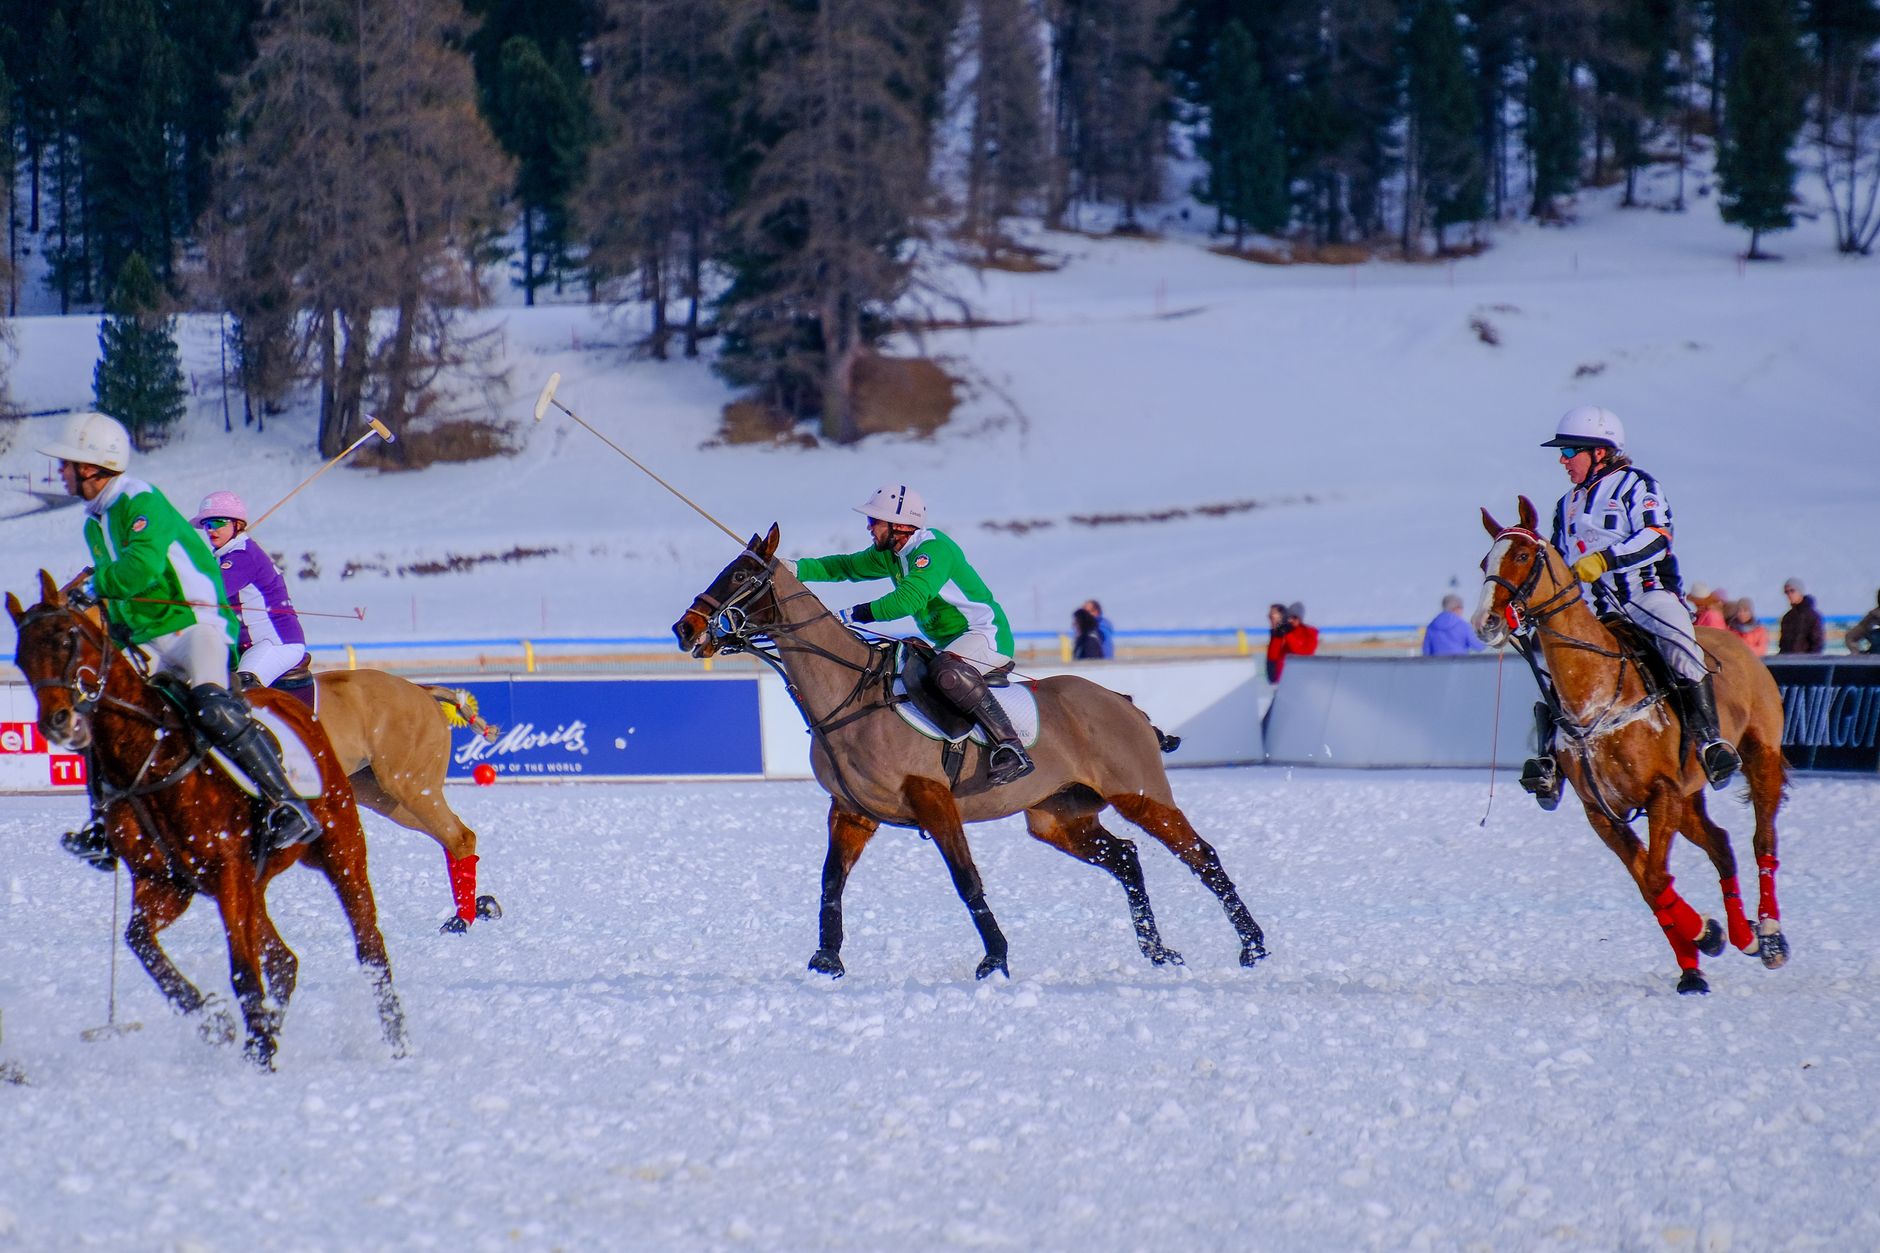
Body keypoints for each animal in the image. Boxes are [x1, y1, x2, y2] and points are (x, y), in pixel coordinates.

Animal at [7, 571, 407, 1068]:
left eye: (66, 638)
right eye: (21, 657)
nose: (57, 722)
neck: (149, 752)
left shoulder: (227, 870)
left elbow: (241, 969)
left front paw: (257, 1050)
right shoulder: (166, 882)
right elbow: (140, 941)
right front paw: (216, 1022)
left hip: (338, 847)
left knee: (369, 948)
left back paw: (394, 1039)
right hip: (248, 882)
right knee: (283, 961)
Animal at [309, 669, 503, 933]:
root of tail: (421, 689)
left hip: (406, 782)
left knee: (458, 836)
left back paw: (462, 919)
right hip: (380, 792)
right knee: (452, 834)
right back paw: (481, 906)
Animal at [671, 526, 1267, 979]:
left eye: (742, 576)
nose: (686, 628)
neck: (850, 695)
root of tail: (1124, 704)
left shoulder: (934, 800)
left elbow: (966, 878)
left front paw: (995, 960)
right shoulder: (852, 810)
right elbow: (831, 881)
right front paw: (826, 960)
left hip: (1138, 792)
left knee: (1201, 855)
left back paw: (1252, 946)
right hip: (1058, 816)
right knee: (1125, 856)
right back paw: (1159, 950)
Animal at [1476, 499, 1789, 994]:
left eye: (1523, 556)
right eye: (1483, 562)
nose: (1485, 622)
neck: (1596, 697)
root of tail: (1741, 646)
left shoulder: (1661, 793)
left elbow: (1658, 877)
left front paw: (1706, 934)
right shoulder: (1604, 811)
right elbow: (1647, 885)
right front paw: (1696, 961)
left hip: (1761, 757)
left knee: (1763, 839)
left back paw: (1771, 937)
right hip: (1689, 794)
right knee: (1721, 843)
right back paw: (1744, 935)